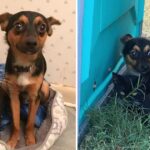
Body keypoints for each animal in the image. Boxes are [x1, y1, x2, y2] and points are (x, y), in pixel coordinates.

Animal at [0, 11, 60, 148]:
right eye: (18, 25)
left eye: (42, 27)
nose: (32, 43)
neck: (24, 65)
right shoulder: (14, 95)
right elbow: (16, 123)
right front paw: (12, 141)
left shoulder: (34, 96)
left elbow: (30, 122)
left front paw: (31, 140)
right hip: (5, 86)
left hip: (44, 88)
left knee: (43, 102)